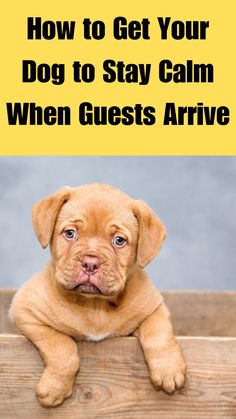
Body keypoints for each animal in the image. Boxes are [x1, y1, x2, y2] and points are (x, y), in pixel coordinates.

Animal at [9, 184, 186, 406]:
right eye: (70, 233)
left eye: (119, 240)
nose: (90, 263)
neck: (94, 305)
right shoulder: (25, 310)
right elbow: (62, 346)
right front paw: (55, 389)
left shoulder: (154, 307)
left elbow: (158, 332)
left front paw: (168, 370)